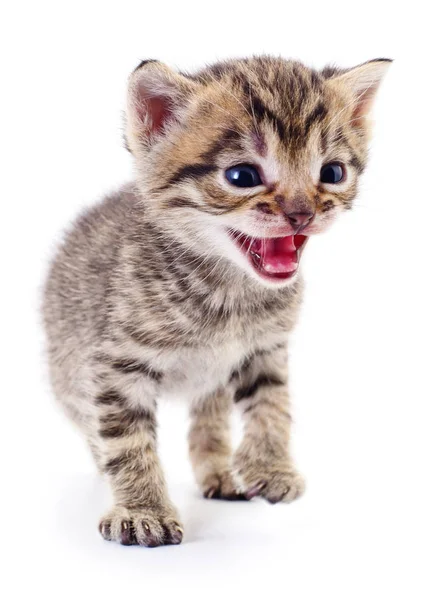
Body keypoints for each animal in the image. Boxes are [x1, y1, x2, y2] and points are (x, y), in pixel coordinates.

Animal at [43, 57, 392, 548]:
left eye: (332, 173)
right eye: (242, 176)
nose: (302, 213)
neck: (230, 291)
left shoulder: (265, 347)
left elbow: (272, 405)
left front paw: (271, 465)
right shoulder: (116, 366)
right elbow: (127, 440)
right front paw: (142, 509)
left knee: (208, 416)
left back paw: (219, 471)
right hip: (67, 372)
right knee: (89, 422)